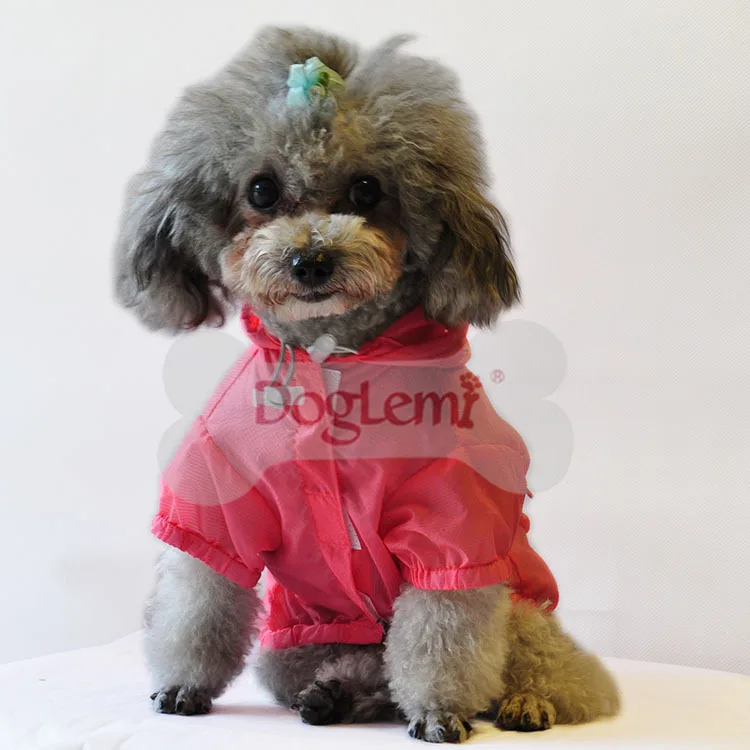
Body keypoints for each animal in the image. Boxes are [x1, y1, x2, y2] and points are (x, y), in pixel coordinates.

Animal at [114, 26, 620, 743]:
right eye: (261, 190)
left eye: (365, 190)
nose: (311, 259)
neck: (331, 365)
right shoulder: (218, 491)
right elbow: (198, 594)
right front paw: (183, 686)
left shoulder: (453, 519)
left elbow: (442, 627)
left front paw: (438, 710)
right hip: (297, 641)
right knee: (363, 675)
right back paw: (334, 697)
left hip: (524, 607)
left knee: (557, 672)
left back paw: (526, 703)